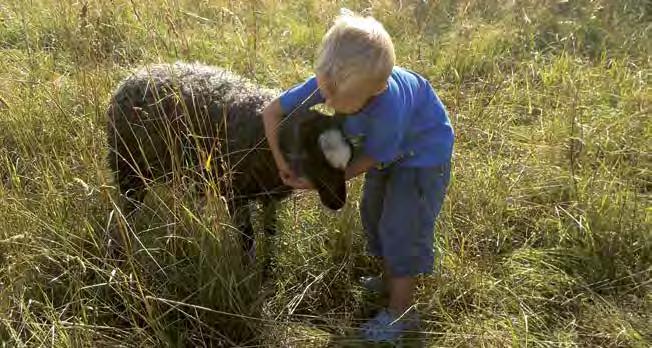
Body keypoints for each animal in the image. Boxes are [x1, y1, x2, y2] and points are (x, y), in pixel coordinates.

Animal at [106, 61, 352, 258]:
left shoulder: (268, 193)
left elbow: (270, 231)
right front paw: (248, 272)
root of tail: (130, 78)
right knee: (126, 211)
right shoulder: (235, 192)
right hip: (129, 167)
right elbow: (247, 237)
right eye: (316, 160)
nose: (338, 203)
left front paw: (268, 265)